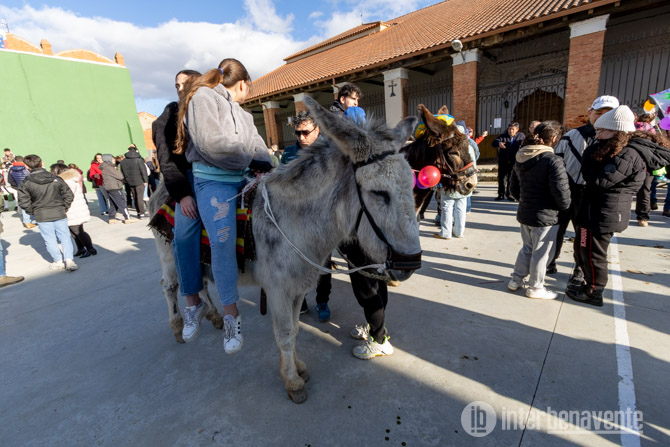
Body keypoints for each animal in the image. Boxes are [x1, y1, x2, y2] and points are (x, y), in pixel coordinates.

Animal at [149, 96, 422, 404]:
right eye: (378, 193)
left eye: (411, 185)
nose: (410, 263)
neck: (293, 222)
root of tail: (162, 188)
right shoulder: (278, 291)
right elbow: (285, 333)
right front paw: (293, 382)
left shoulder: (297, 289)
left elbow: (295, 329)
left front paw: (297, 368)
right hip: (170, 256)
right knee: (171, 286)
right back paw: (180, 326)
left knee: (203, 282)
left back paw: (215, 317)